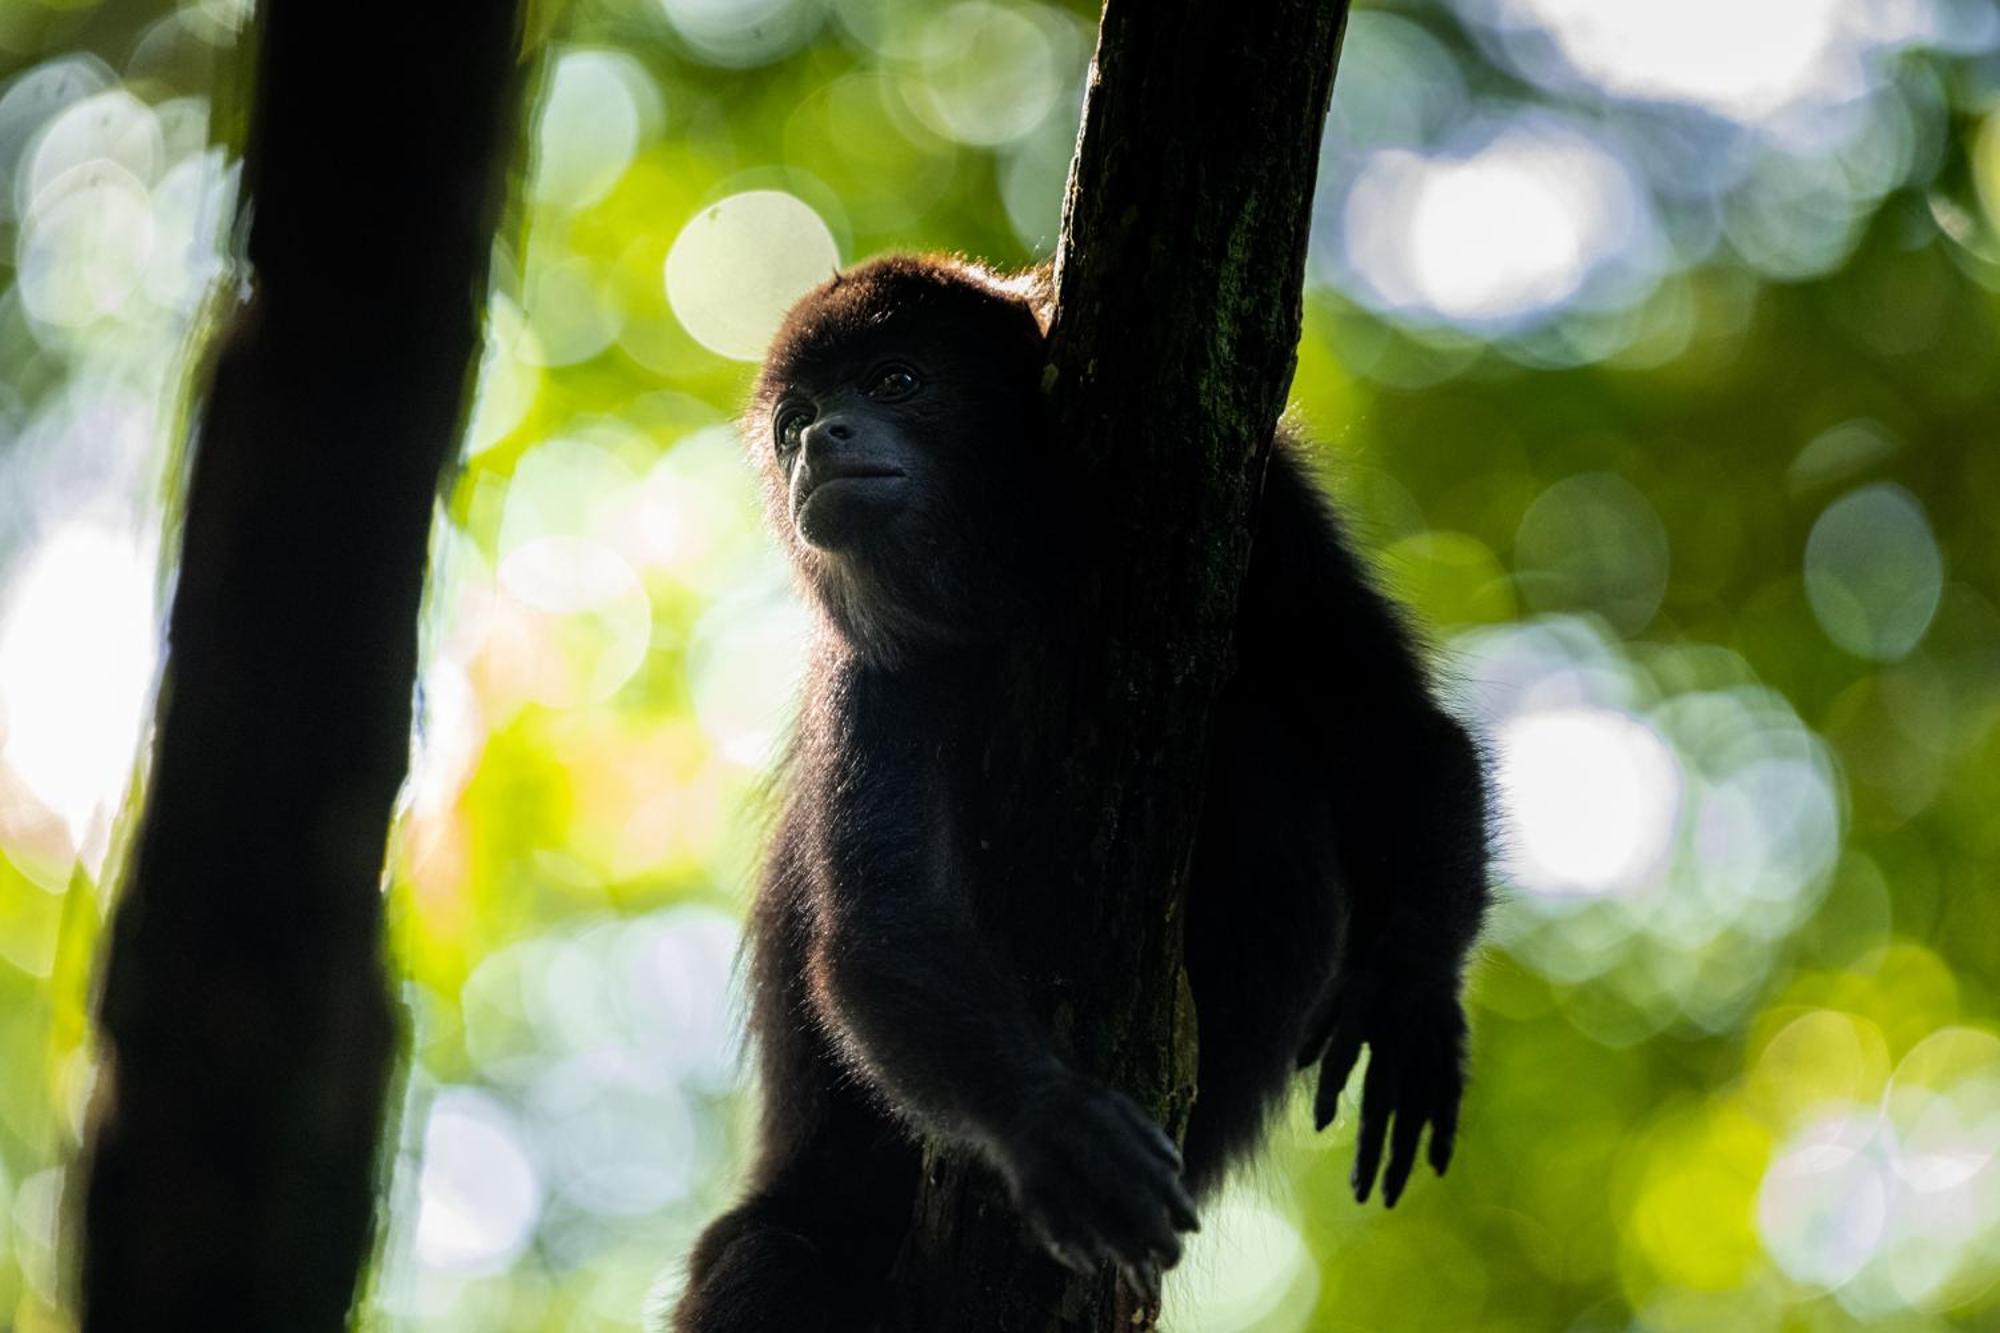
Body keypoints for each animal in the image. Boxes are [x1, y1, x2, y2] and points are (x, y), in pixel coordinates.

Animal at [672, 254, 1488, 1320]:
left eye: (896, 381)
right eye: (793, 419)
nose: (818, 440)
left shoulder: (1276, 504)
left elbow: (1395, 731)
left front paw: (1411, 988)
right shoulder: (876, 667)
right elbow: (886, 929)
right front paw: (1050, 1121)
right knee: (766, 1261)